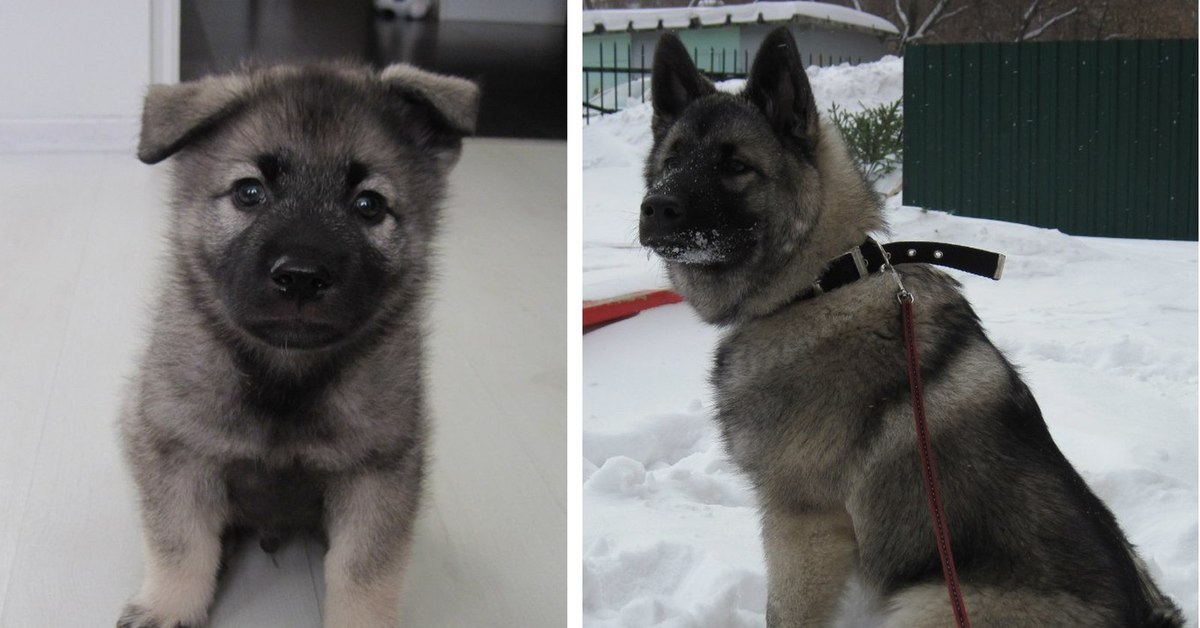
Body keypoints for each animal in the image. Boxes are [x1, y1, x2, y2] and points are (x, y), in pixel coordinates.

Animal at [117, 60, 477, 628]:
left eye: (369, 205)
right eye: (249, 192)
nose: (302, 277)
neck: (287, 374)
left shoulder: (378, 472)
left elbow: (365, 569)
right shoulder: (177, 450)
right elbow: (180, 542)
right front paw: (169, 605)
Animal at [638, 29, 1180, 628]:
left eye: (736, 166)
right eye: (673, 159)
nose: (654, 208)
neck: (823, 280)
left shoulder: (802, 521)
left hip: (928, 599)